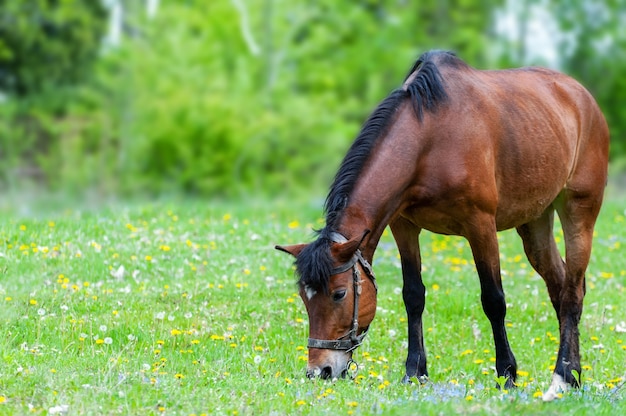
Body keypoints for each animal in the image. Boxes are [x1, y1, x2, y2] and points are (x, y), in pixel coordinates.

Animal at [276, 50, 608, 402]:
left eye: (339, 294)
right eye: (304, 296)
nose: (320, 371)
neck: (429, 140)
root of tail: (582, 96)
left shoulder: (480, 225)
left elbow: (493, 300)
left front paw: (506, 374)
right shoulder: (403, 225)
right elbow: (413, 296)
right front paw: (414, 372)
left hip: (579, 211)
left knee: (572, 292)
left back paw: (561, 377)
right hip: (534, 223)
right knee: (559, 287)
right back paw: (574, 374)